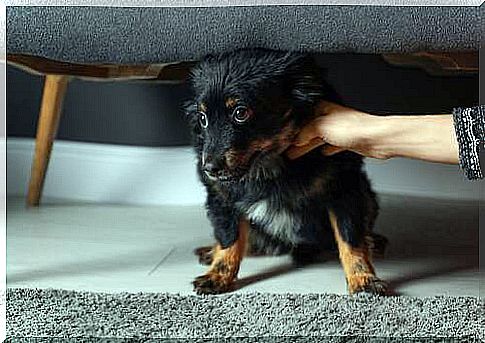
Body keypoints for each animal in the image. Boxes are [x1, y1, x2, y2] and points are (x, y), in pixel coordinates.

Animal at [184, 47, 386, 296]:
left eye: (241, 113)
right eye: (202, 118)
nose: (209, 169)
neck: (269, 167)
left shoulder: (345, 190)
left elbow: (351, 238)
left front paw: (363, 278)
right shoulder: (221, 198)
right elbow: (229, 238)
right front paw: (218, 275)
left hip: (368, 197)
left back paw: (373, 241)